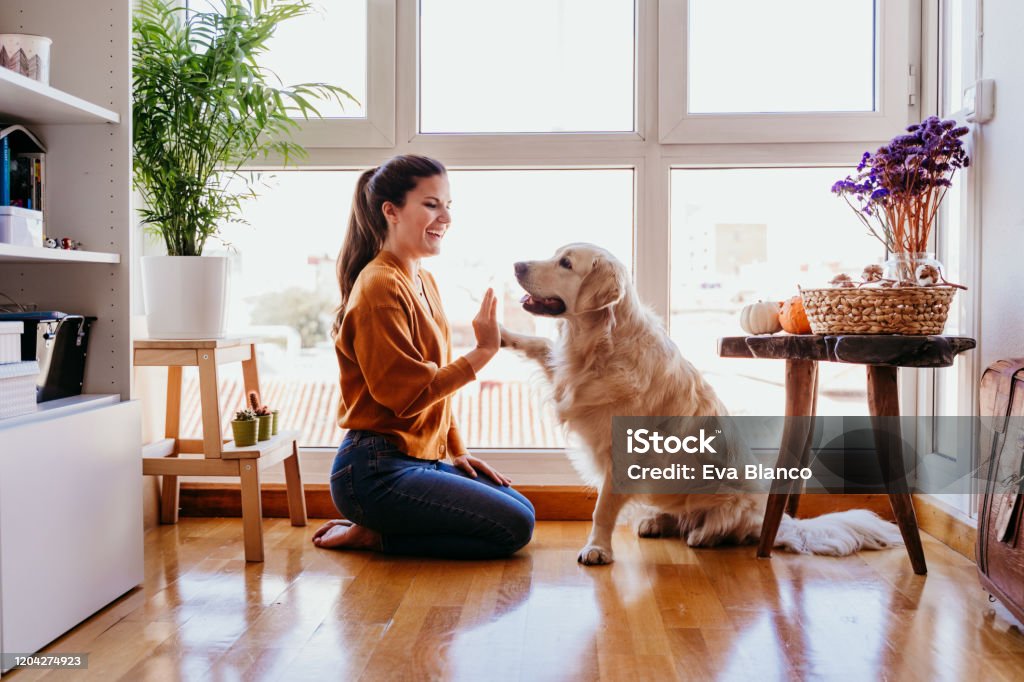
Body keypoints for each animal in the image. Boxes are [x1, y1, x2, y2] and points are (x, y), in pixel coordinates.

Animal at [499, 244, 901, 561]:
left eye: (566, 263)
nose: (516, 265)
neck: (600, 344)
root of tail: (778, 520)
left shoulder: (623, 456)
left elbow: (602, 509)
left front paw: (597, 548)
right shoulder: (567, 376)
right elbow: (540, 346)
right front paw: (500, 333)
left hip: (731, 498)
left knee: (728, 528)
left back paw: (703, 535)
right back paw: (657, 522)